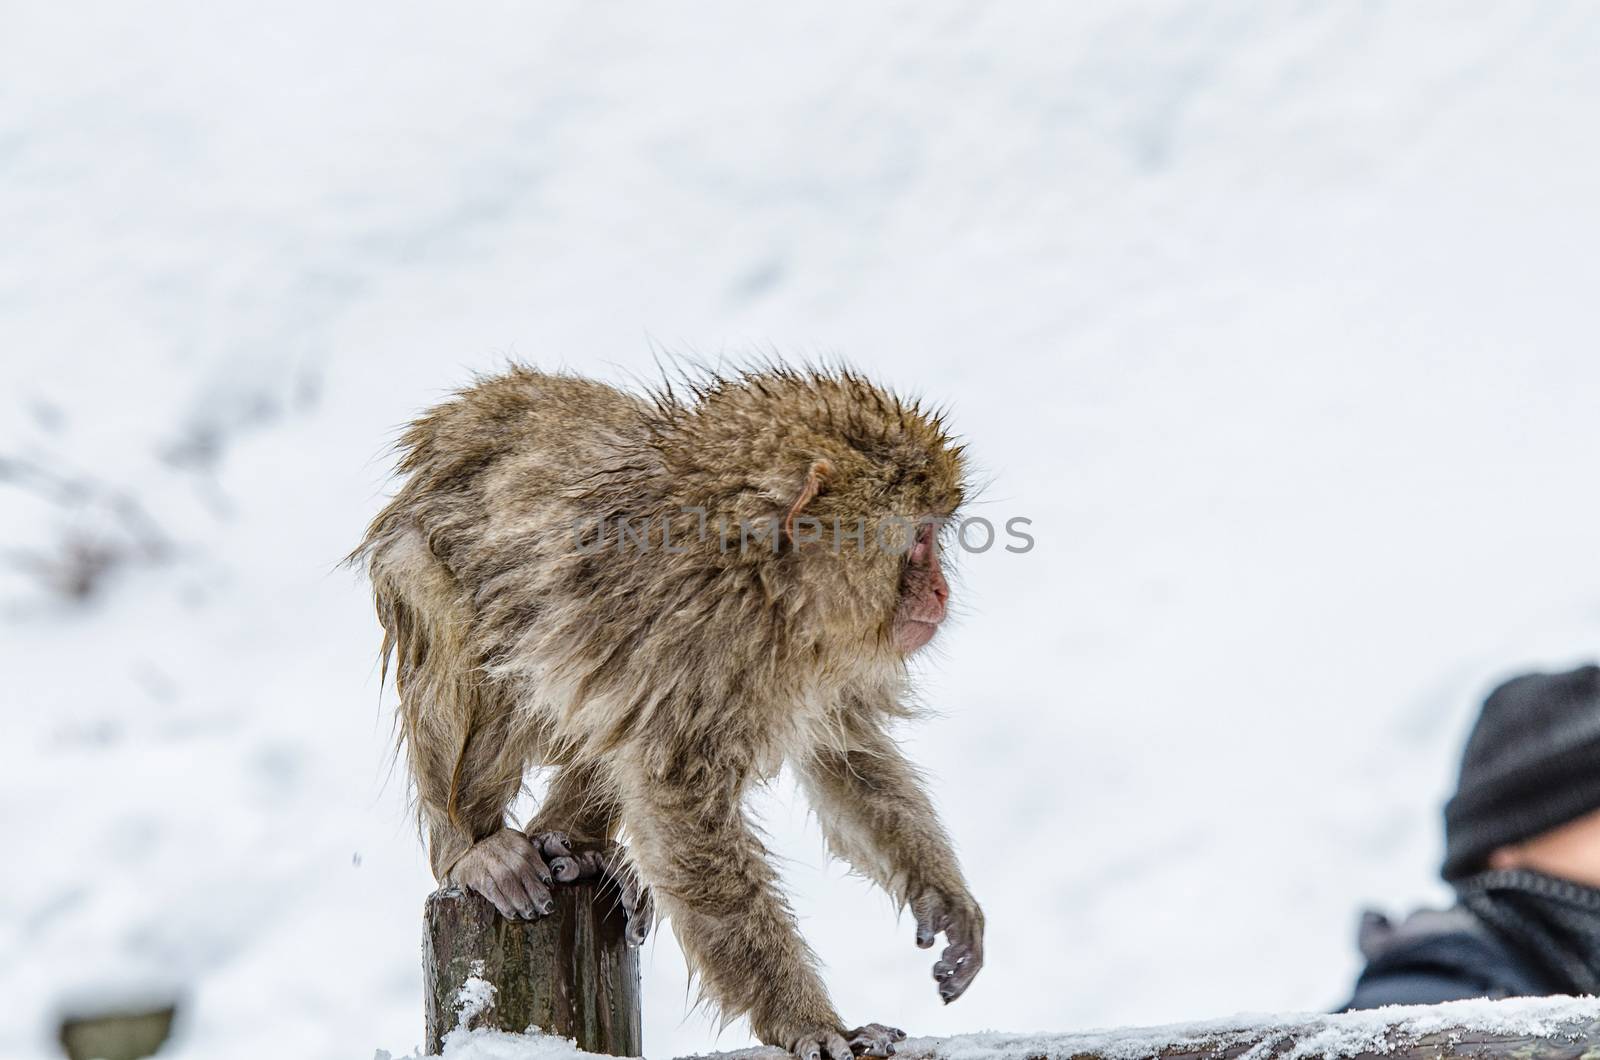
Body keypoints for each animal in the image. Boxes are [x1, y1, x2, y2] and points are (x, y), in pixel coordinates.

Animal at [355, 368, 979, 1060]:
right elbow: (681, 812)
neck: (763, 581)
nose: (941, 590)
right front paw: (809, 1023)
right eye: (920, 540)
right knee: (448, 613)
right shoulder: (697, 640)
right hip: (409, 560)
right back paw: (473, 849)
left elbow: (845, 753)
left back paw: (573, 841)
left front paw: (945, 899)